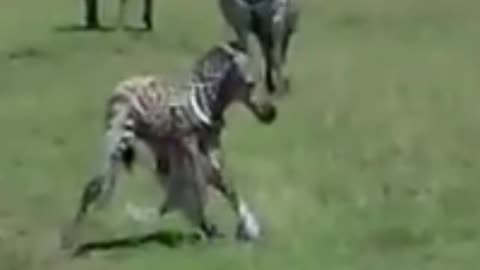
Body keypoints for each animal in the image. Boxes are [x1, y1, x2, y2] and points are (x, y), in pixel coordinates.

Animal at [61, 41, 276, 250]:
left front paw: (243, 228)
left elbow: (223, 182)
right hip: (120, 136)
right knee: (96, 183)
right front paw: (213, 229)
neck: (209, 102)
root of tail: (122, 85)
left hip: (155, 143)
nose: (271, 114)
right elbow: (202, 184)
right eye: (250, 83)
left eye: (260, 80)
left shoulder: (208, 143)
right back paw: (71, 239)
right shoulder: (188, 143)